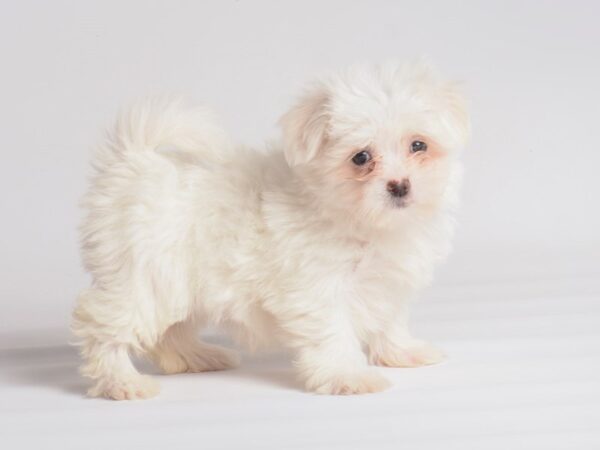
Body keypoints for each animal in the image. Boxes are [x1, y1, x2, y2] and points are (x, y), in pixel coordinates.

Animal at [72, 60, 472, 400]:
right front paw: (348, 376)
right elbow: (333, 331)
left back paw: (196, 357)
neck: (360, 220)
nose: (400, 185)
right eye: (361, 157)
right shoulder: (318, 287)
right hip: (143, 277)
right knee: (103, 327)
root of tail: (134, 162)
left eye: (418, 145)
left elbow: (389, 321)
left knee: (171, 331)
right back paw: (121, 382)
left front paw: (404, 352)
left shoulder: (387, 284)